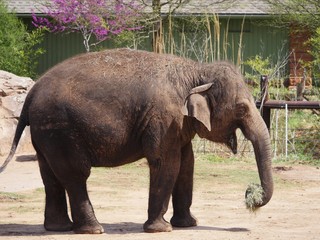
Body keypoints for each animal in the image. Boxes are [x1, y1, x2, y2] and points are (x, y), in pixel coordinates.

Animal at [0, 48, 272, 234]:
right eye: (241, 108)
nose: (250, 193)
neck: (197, 71)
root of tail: (31, 93)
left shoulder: (178, 124)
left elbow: (187, 165)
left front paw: (188, 225)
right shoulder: (164, 119)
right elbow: (167, 163)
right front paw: (161, 229)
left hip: (46, 134)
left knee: (51, 177)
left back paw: (59, 228)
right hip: (61, 129)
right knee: (75, 175)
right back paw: (94, 230)